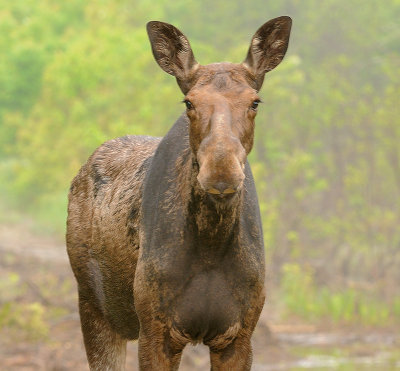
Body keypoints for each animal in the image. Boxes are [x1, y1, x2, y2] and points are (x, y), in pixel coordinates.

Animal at [67, 16, 292, 370]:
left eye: (254, 101)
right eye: (189, 102)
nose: (221, 170)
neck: (212, 244)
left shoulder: (240, 335)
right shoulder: (155, 330)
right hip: (94, 306)